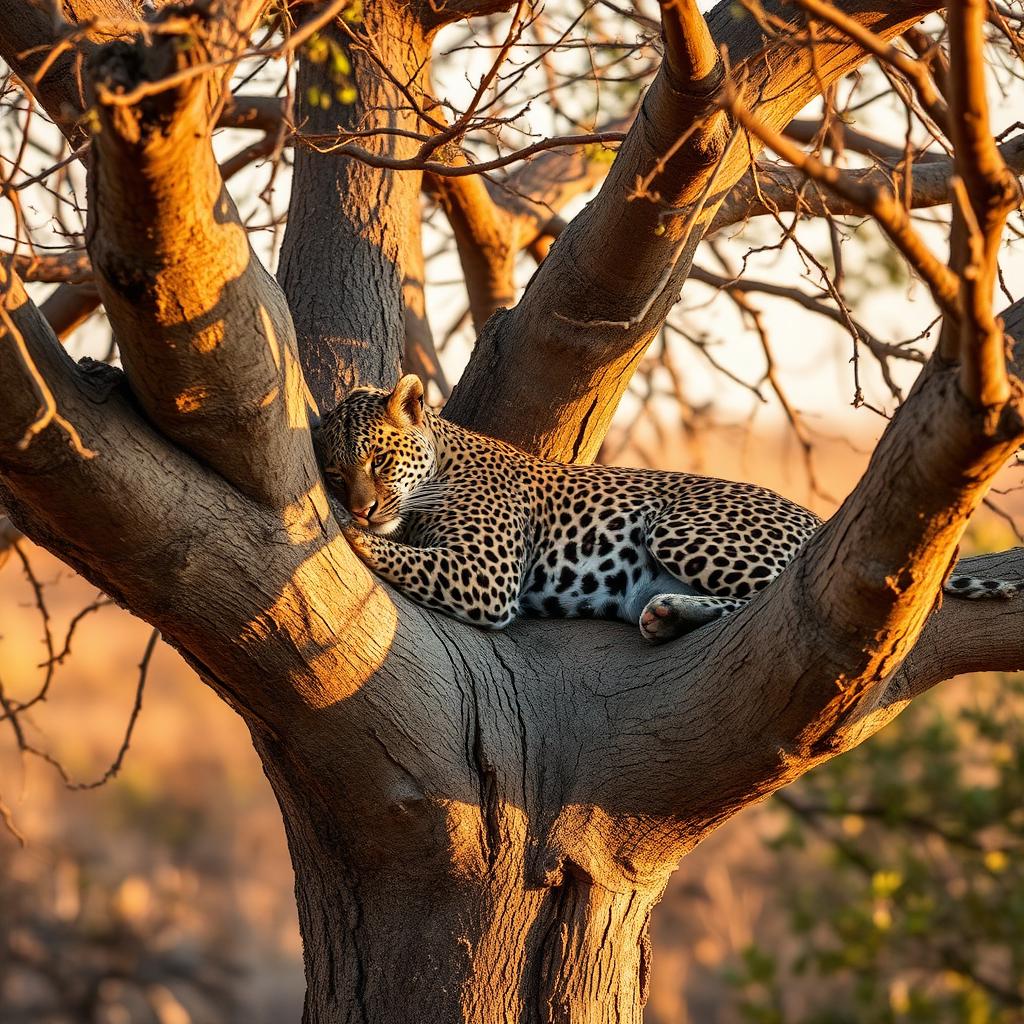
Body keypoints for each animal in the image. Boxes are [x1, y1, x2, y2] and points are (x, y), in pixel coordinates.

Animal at [318, 374, 1024, 643]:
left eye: (379, 460)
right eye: (334, 472)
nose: (360, 506)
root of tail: (820, 520)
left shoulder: (486, 578)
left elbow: (399, 552)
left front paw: (347, 533)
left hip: (679, 527)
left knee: (777, 597)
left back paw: (674, 612)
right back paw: (666, 612)